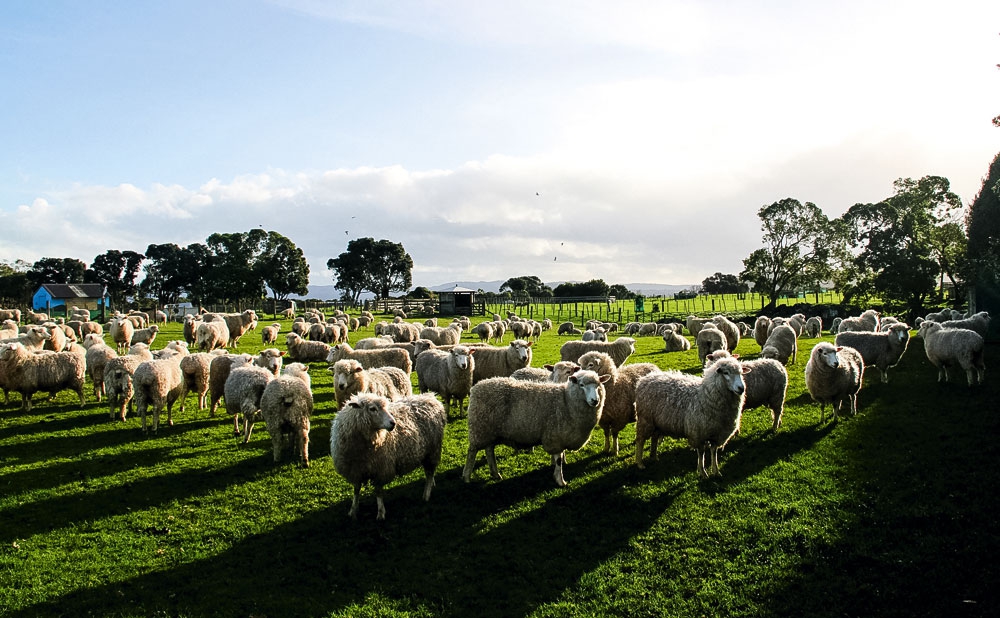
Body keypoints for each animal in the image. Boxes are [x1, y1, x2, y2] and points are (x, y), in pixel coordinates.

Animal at [460, 366, 608, 486]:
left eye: (598, 385)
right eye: (581, 385)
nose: (595, 400)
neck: (566, 401)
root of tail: (477, 387)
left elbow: (559, 458)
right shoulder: (555, 437)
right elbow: (558, 460)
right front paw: (560, 480)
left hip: (490, 431)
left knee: (489, 450)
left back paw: (495, 474)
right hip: (479, 428)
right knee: (472, 452)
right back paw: (466, 477)